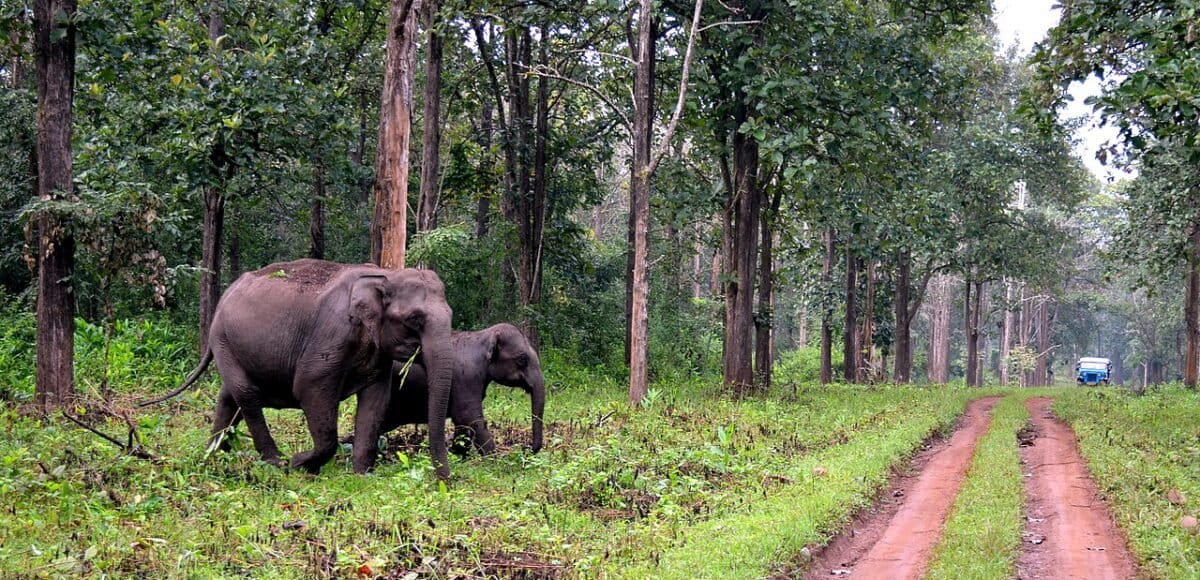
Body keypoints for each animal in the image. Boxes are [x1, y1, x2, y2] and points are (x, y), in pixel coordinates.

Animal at [140, 259, 456, 478]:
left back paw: (215, 454)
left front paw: (362, 475)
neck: (385, 273)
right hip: (223, 340)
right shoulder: (331, 335)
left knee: (229, 396)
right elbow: (309, 388)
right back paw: (275, 461)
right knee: (246, 394)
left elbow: (376, 401)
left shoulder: (377, 356)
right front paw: (300, 464)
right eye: (414, 319)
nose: (444, 480)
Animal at [378, 323, 544, 456]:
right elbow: (468, 416)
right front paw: (496, 460)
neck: (482, 336)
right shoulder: (465, 378)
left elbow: (462, 423)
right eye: (522, 359)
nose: (526, 448)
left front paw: (458, 457)